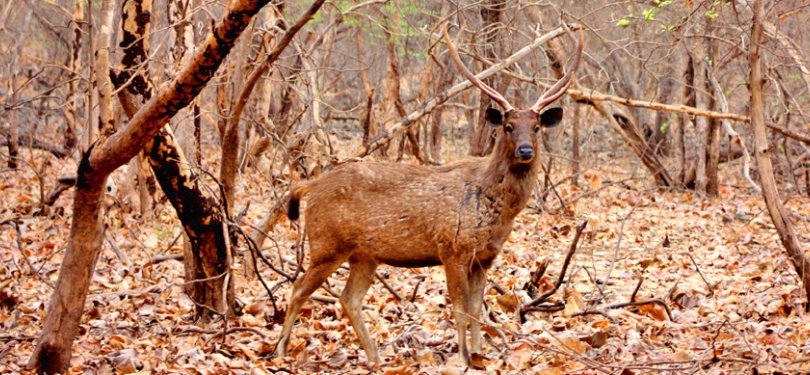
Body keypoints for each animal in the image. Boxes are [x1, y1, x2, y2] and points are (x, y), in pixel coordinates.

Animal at [274, 24, 580, 368]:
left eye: (537, 126)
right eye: (509, 126)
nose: (526, 151)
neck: (494, 207)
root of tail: (311, 186)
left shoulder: (485, 258)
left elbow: (477, 308)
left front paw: (480, 354)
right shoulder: (453, 249)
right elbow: (460, 309)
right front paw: (464, 358)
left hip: (363, 254)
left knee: (347, 298)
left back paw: (376, 357)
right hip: (327, 243)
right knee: (299, 289)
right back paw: (280, 350)